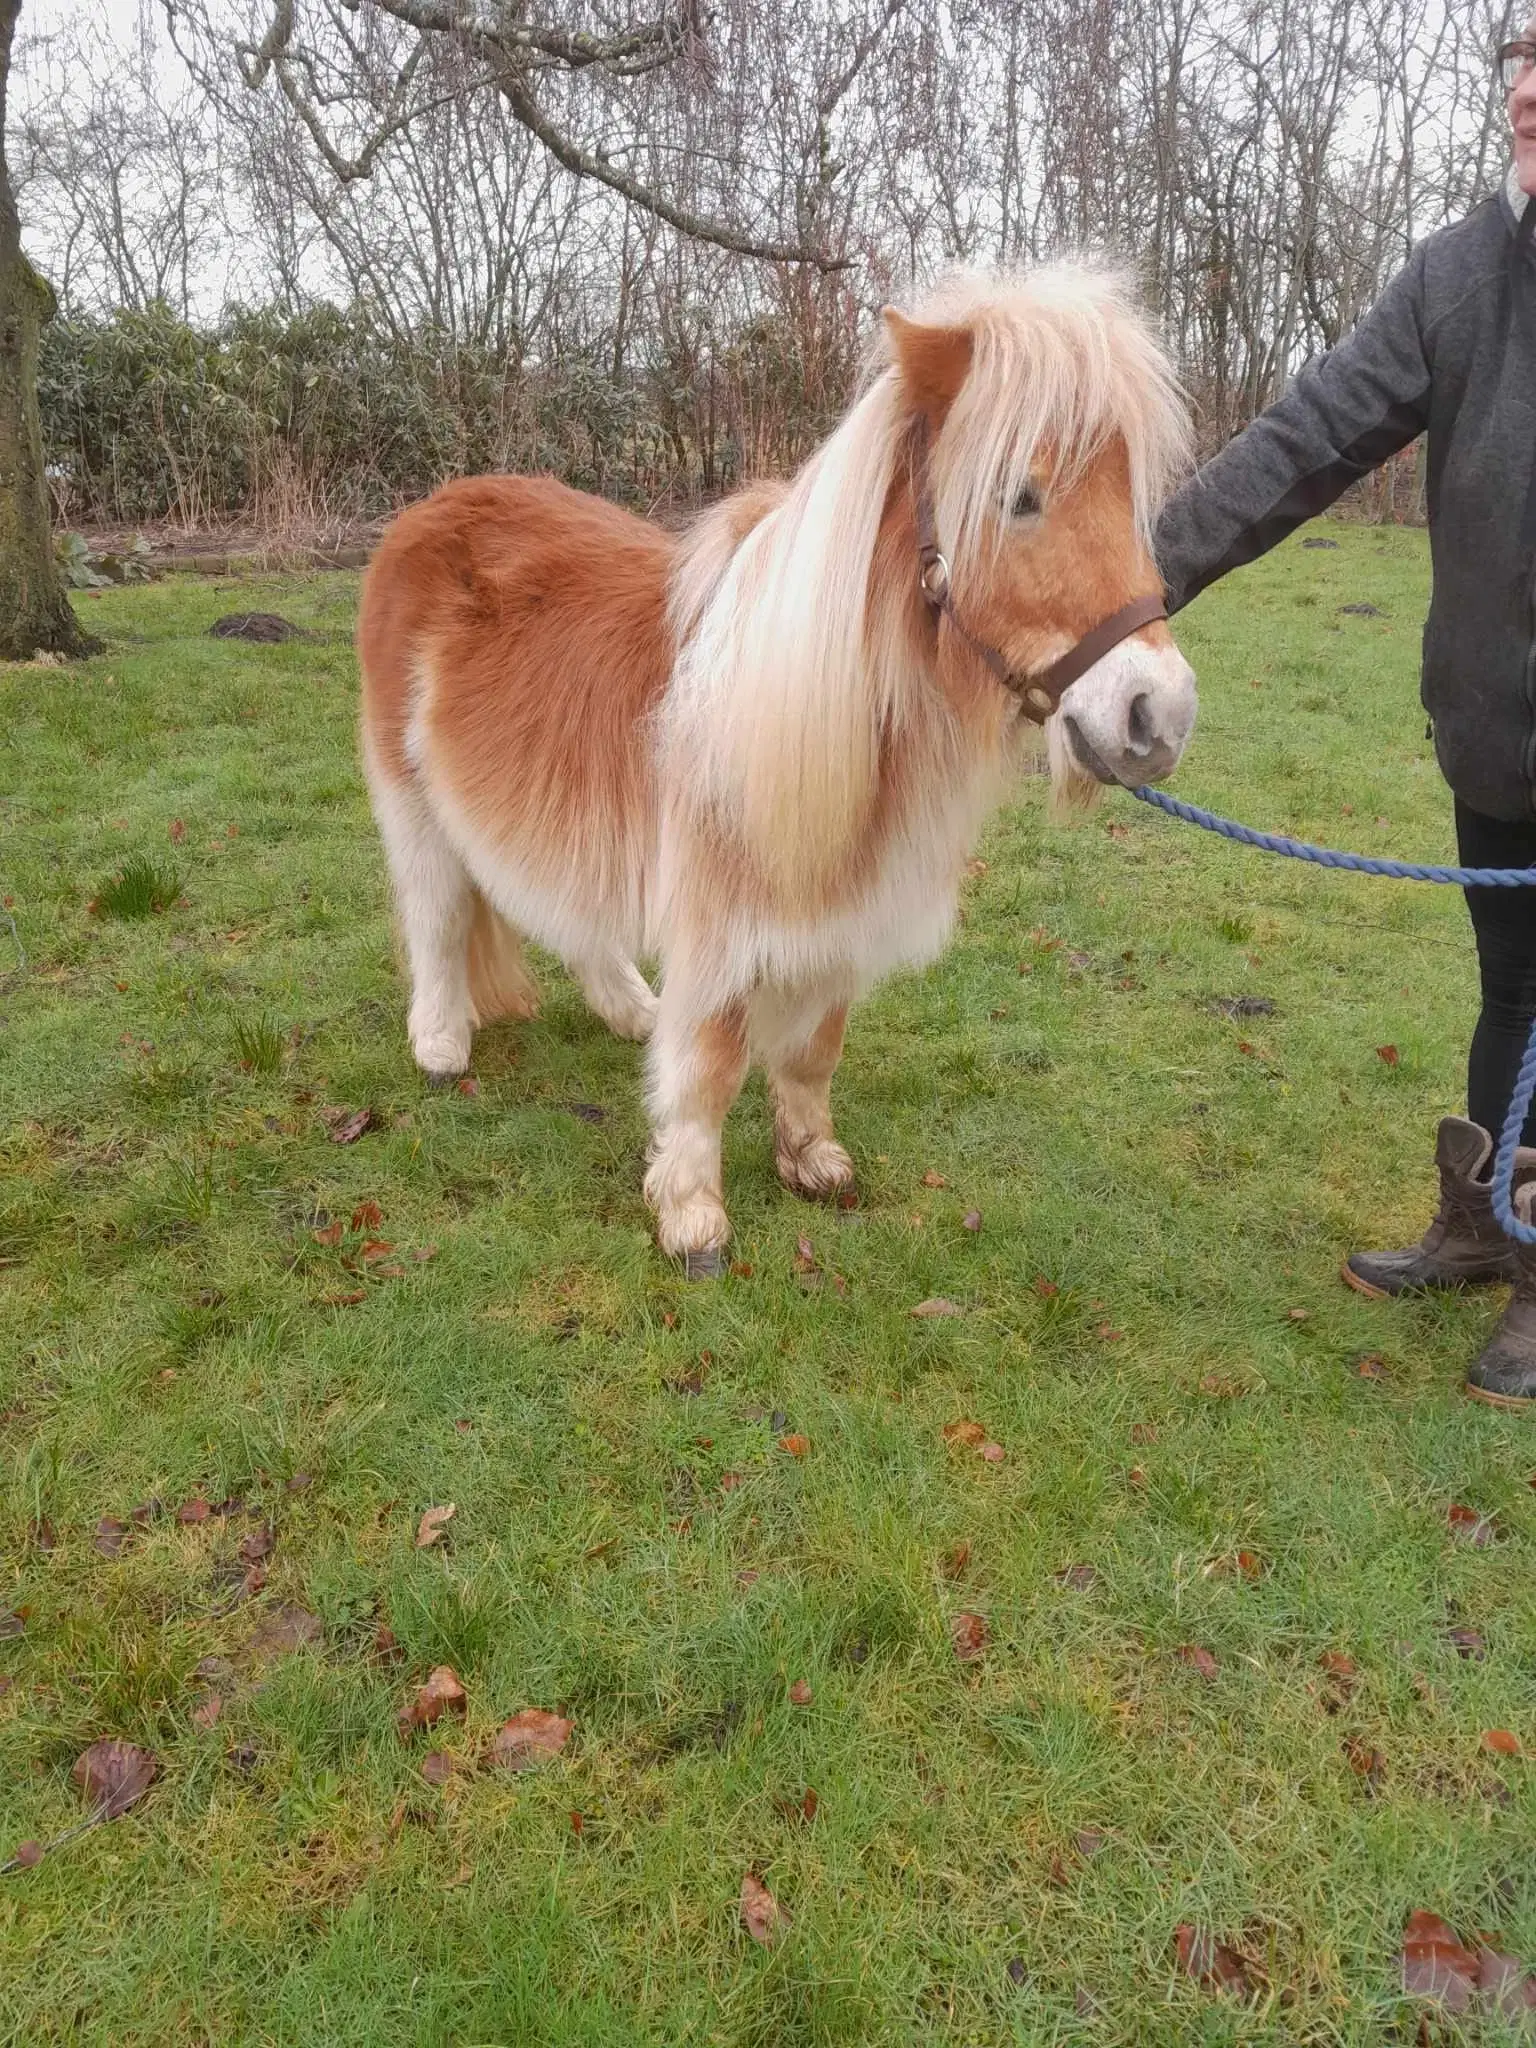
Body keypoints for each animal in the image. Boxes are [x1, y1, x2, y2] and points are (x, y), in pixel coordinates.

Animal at [360, 266, 1204, 1269]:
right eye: (1019, 497)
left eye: (1129, 494)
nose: (1159, 714)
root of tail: (430, 509)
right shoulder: (723, 923)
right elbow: (713, 1064)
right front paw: (691, 1213)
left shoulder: (839, 914)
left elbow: (812, 1049)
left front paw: (811, 1160)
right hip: (411, 801)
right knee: (438, 915)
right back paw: (442, 1044)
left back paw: (632, 1011)